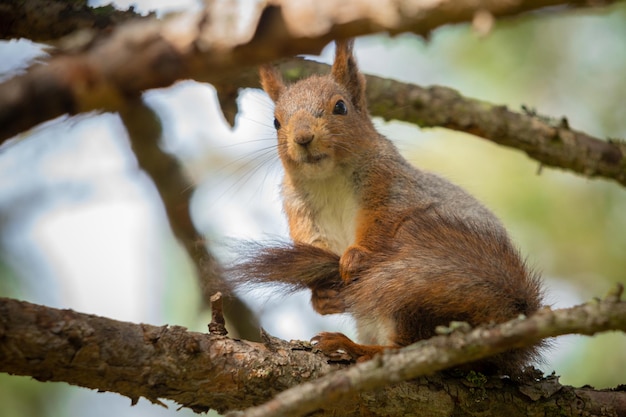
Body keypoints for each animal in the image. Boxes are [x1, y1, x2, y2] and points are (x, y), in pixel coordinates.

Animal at [228, 39, 540, 376]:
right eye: (275, 122)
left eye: (340, 107)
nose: (303, 137)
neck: (328, 178)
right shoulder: (300, 209)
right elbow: (311, 244)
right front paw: (322, 296)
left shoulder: (391, 186)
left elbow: (381, 222)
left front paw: (354, 258)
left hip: (420, 293)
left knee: (407, 346)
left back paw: (353, 346)